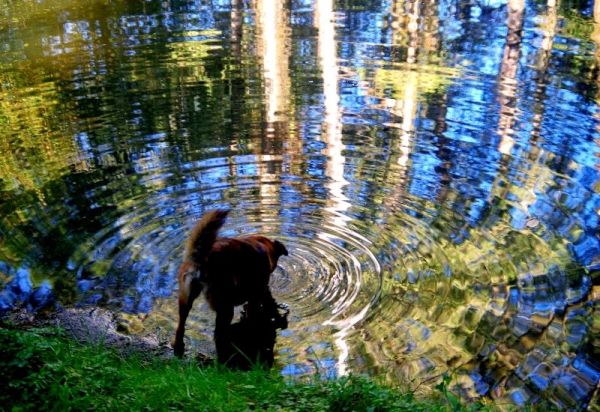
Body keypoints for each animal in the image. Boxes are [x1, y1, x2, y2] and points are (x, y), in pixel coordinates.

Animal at [171, 211, 288, 358]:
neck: (262, 245)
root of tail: (203, 258)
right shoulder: (259, 293)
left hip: (186, 300)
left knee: (180, 326)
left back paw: (178, 347)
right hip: (225, 307)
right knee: (219, 334)